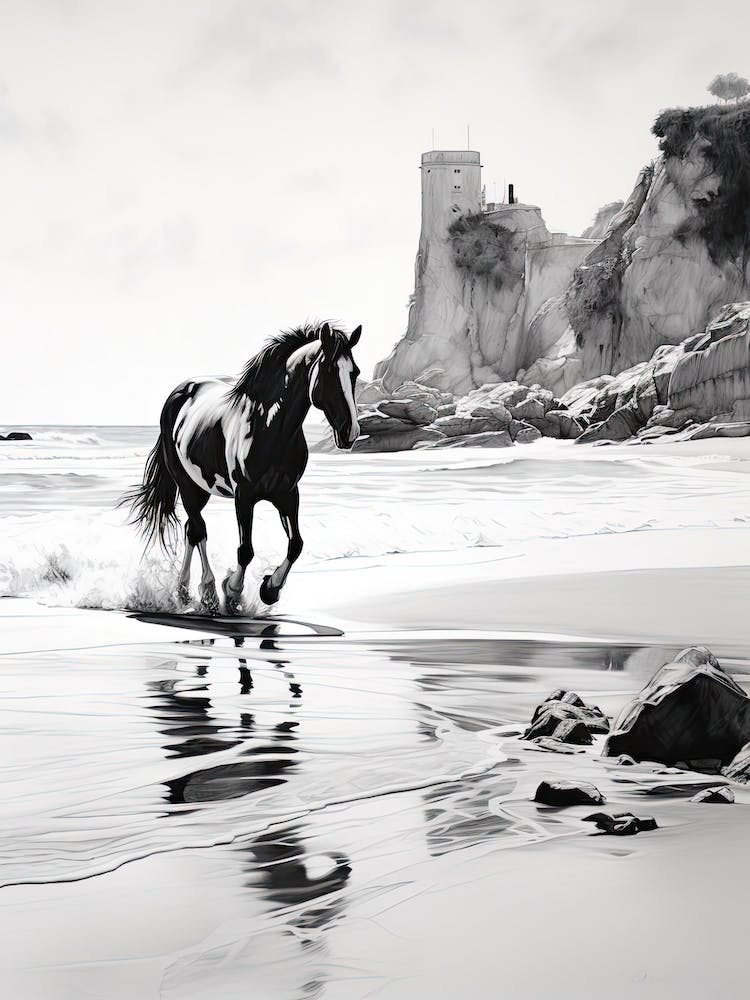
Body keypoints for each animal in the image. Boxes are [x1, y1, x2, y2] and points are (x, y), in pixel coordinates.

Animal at [121, 321, 362, 613]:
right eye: (328, 371)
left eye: (355, 373)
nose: (350, 432)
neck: (268, 426)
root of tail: (181, 392)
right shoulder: (244, 495)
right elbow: (245, 549)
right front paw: (233, 592)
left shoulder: (288, 494)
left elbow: (296, 545)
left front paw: (270, 589)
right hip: (187, 486)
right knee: (198, 530)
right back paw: (208, 593)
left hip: (201, 489)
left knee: (191, 530)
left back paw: (184, 592)